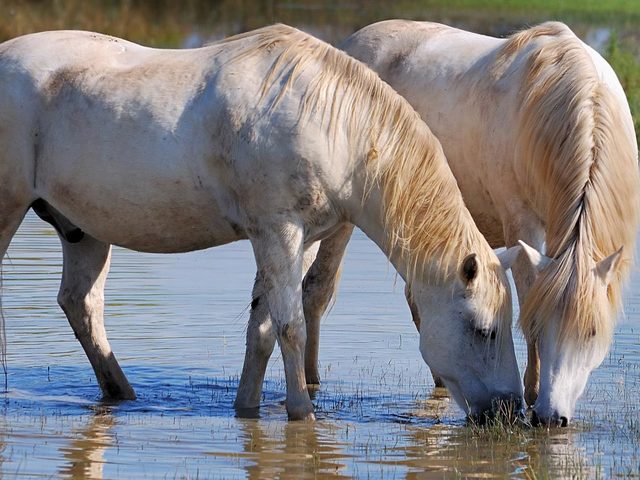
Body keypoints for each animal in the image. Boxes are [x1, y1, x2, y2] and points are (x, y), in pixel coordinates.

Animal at [0, 23, 524, 420]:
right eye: (484, 330)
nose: (507, 411)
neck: (333, 125)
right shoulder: (278, 231)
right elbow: (290, 325)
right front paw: (302, 414)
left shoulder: (301, 238)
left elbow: (263, 327)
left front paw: (247, 409)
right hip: (8, 210)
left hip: (84, 231)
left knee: (81, 305)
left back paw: (123, 395)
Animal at [302, 18, 640, 426]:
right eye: (539, 327)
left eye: (592, 333)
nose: (550, 417)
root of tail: (350, 44)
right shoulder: (523, 226)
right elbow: (528, 296)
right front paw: (531, 394)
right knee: (316, 290)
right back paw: (311, 384)